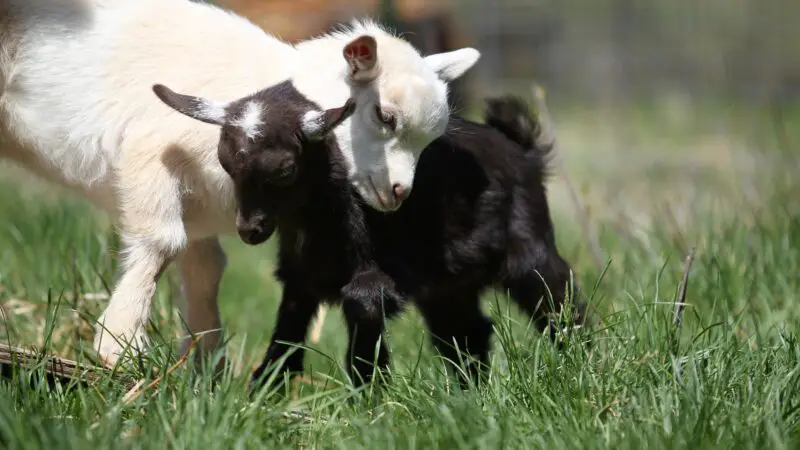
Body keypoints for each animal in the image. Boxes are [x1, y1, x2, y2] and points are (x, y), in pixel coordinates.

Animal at [0, 0, 482, 368]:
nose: (400, 193)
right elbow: (161, 242)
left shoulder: (201, 208)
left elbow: (206, 271)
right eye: (385, 116)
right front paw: (119, 346)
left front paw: (203, 368)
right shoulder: (151, 154)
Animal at [153, 81, 584, 390]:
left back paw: (580, 363)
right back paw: (470, 395)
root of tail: (524, 152)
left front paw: (371, 393)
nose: (250, 229)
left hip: (529, 250)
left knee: (559, 301)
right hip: (447, 284)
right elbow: (285, 342)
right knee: (468, 333)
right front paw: (264, 394)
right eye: (225, 163)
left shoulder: (382, 275)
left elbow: (361, 306)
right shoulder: (300, 279)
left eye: (285, 169)